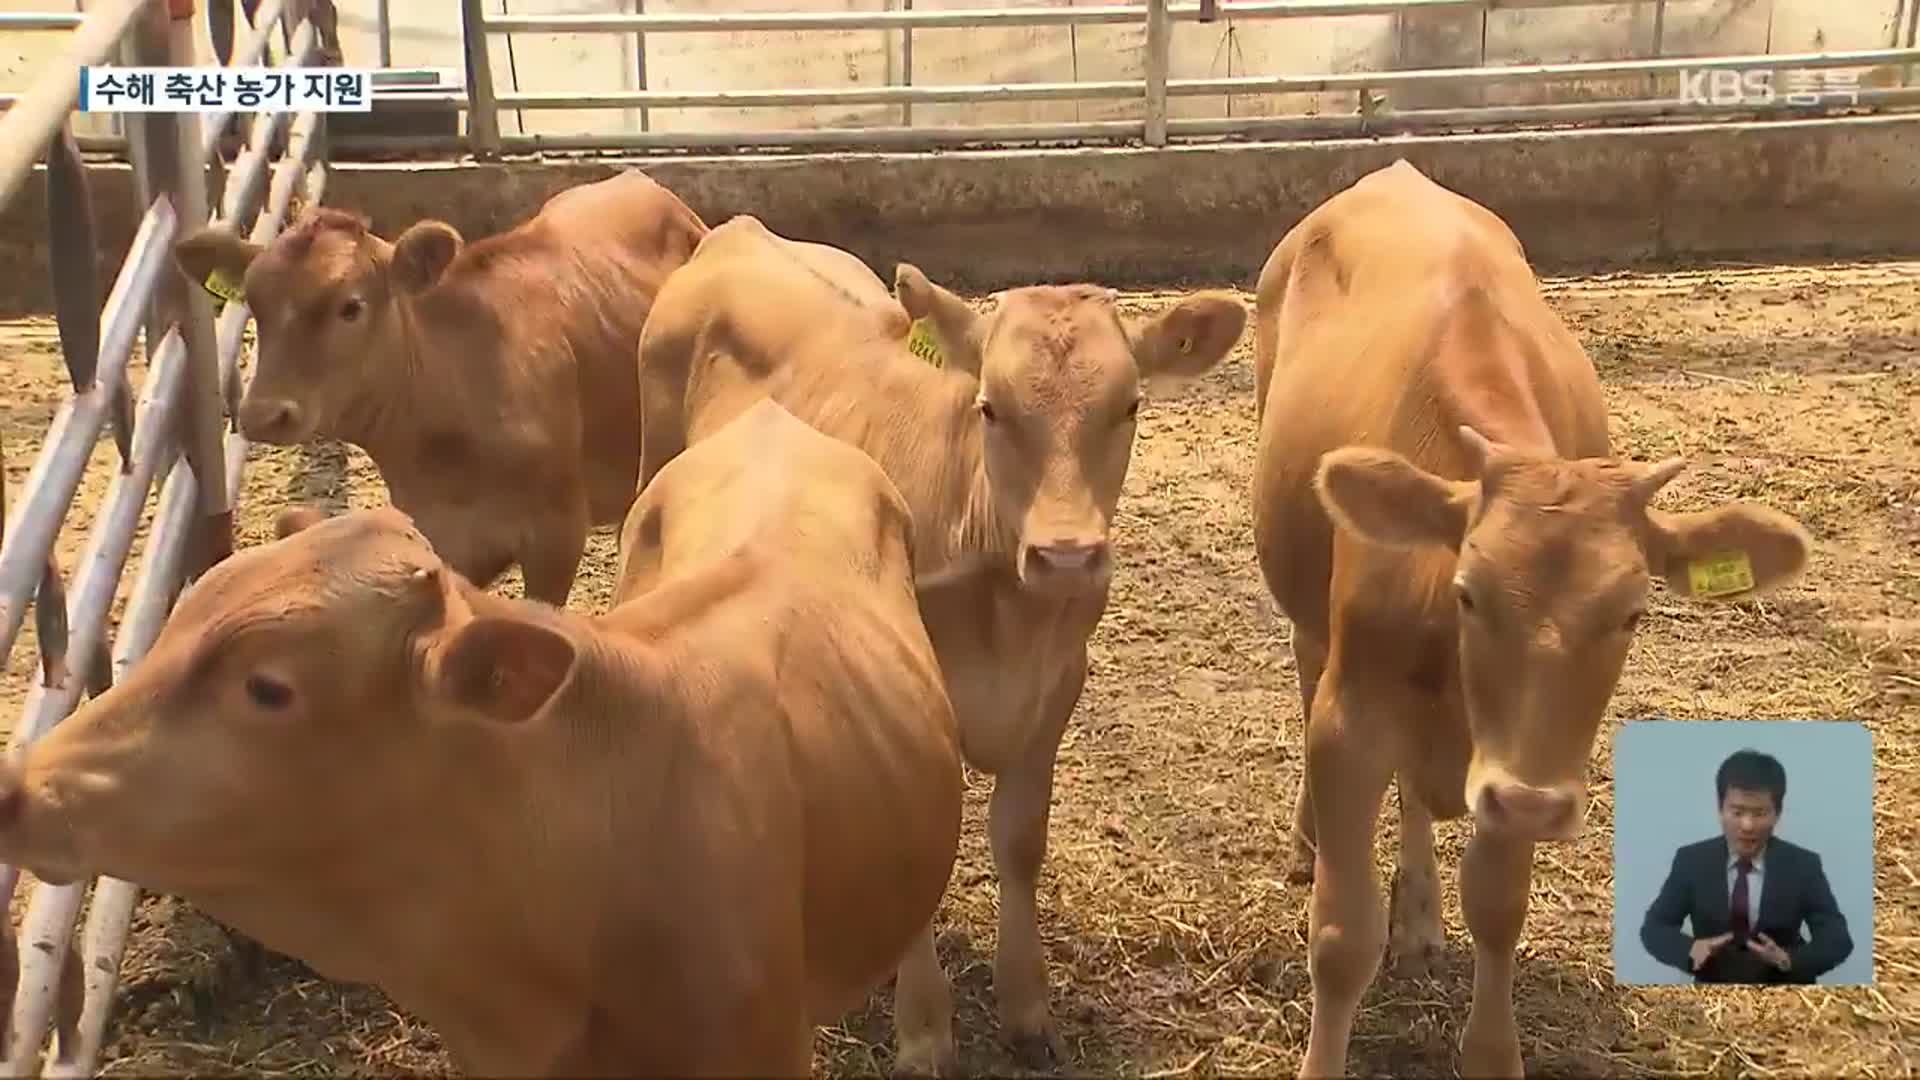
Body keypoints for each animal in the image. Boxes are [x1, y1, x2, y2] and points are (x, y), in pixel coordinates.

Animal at [637, 212, 1251, 1068]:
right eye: (990, 407)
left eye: (1130, 406)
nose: (1067, 555)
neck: (1009, 620)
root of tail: (739, 230)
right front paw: (925, 1031)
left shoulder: (1059, 682)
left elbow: (1021, 839)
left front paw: (1027, 1009)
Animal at [1244, 159, 1812, 1076]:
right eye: (1469, 591)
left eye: (1634, 613)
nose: (1537, 807)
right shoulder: (1352, 720)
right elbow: (1340, 937)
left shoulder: (1519, 762)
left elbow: (1498, 907)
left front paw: (1490, 1043)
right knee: (1306, 663)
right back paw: (1310, 844)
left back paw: (1421, 916)